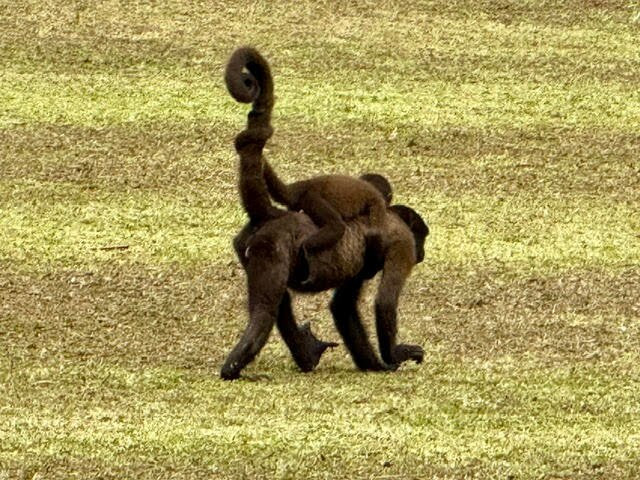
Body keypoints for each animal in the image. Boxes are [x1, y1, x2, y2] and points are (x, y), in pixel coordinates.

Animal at [221, 47, 428, 380]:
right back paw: (234, 367)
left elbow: (342, 306)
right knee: (265, 311)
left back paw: (305, 355)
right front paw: (394, 357)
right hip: (272, 245)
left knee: (278, 303)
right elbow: (384, 303)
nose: (422, 252)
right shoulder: (402, 245)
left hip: (249, 244)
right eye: (421, 238)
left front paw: (373, 364)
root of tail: (272, 215)